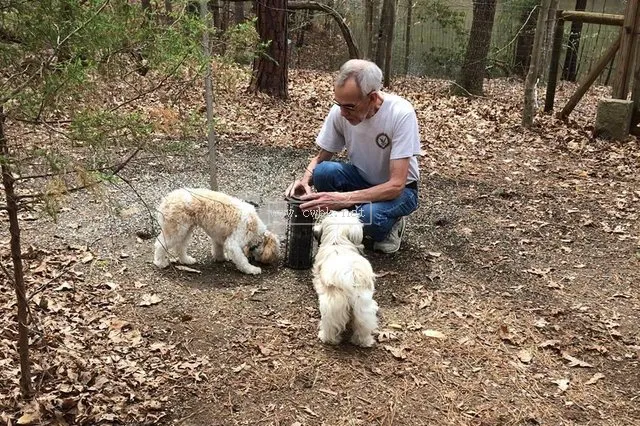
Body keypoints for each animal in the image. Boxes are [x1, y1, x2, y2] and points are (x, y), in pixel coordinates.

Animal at [312, 210, 378, 346]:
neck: (338, 241)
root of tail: (350, 275)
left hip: (332, 305)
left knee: (331, 324)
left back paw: (327, 338)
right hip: (364, 306)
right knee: (364, 324)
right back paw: (363, 341)